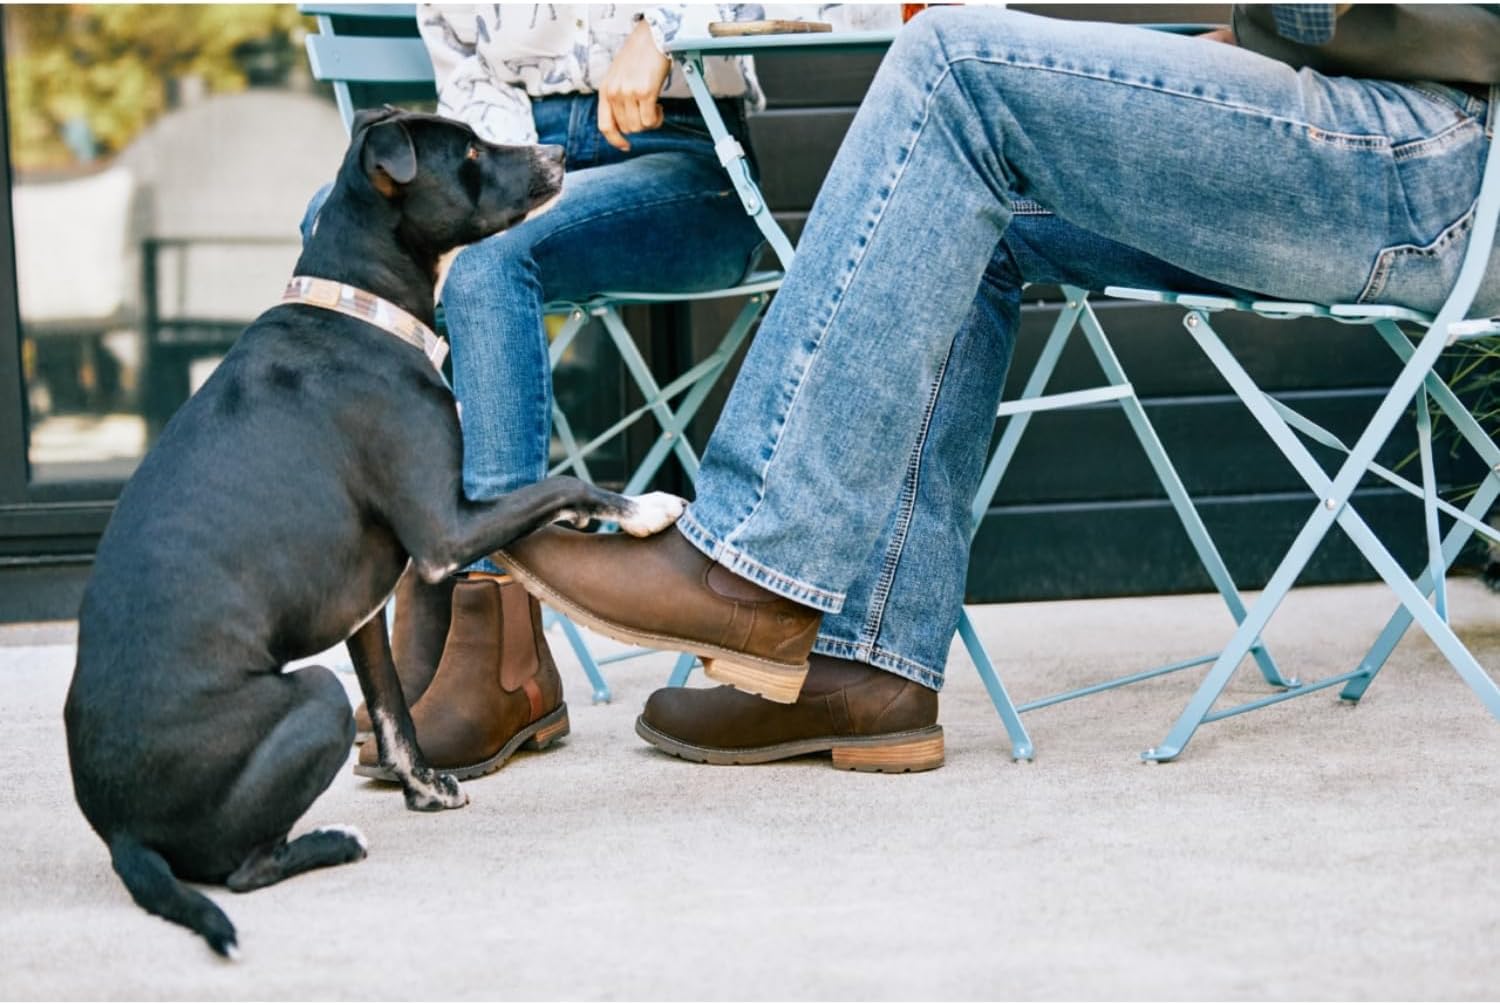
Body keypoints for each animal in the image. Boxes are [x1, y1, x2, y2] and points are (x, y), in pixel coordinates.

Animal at [63, 107, 684, 959]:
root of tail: (122, 831)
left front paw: (422, 785)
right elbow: (560, 482)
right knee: (242, 869)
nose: (557, 153)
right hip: (317, 699)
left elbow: (394, 706)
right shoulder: (445, 529)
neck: (360, 312)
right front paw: (645, 506)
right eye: (469, 152)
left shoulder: (365, 609)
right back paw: (332, 841)